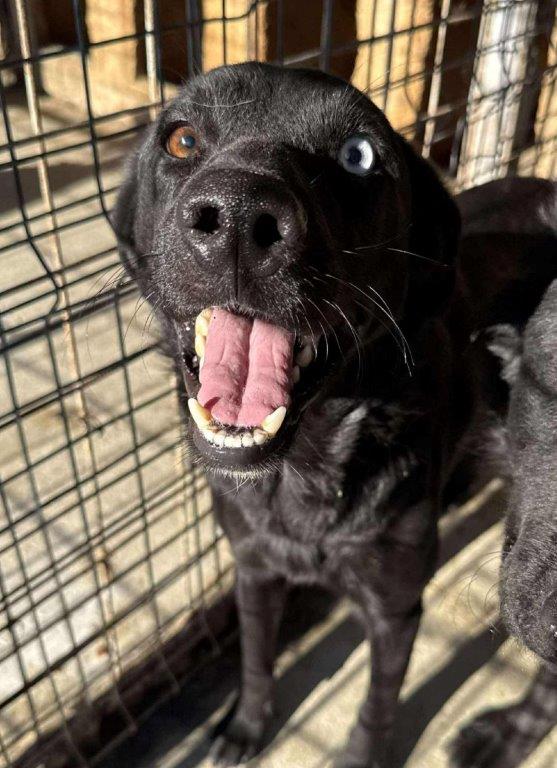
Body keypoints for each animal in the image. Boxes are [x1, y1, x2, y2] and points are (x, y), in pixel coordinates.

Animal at [112, 62, 547, 767]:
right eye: (181, 139)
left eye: (359, 155)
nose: (238, 216)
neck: (303, 477)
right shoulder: (254, 568)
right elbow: (256, 659)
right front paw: (246, 728)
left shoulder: (395, 610)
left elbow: (376, 708)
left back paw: (508, 735)